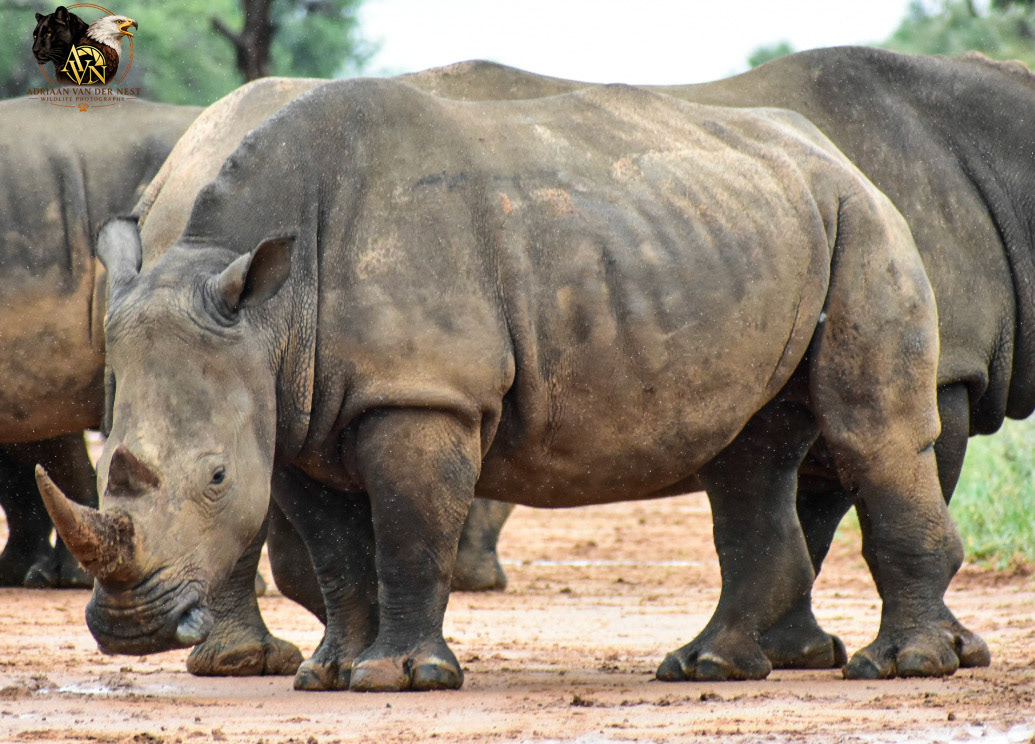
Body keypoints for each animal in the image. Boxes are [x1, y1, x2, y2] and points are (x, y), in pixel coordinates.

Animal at [37, 76, 984, 690]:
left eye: (215, 477)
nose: (128, 631)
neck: (268, 313)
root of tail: (835, 154)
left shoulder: (421, 392)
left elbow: (410, 532)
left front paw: (398, 677)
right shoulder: (291, 407)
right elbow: (340, 551)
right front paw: (329, 673)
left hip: (864, 222)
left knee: (869, 431)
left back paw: (902, 668)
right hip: (751, 226)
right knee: (747, 456)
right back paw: (707, 666)